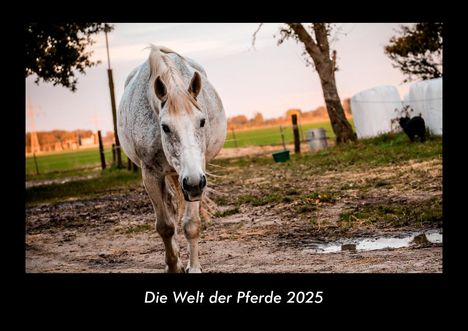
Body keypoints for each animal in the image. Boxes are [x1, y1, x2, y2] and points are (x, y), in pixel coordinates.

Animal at [117, 44, 227, 272]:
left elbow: (191, 224)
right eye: (165, 127)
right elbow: (165, 226)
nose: (193, 182)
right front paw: (174, 266)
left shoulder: (197, 176)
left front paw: (193, 267)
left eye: (202, 121)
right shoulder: (151, 175)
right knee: (169, 207)